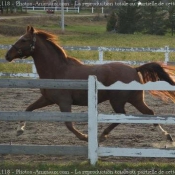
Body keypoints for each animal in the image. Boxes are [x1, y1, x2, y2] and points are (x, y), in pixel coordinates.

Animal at [4, 26, 175, 144]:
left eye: (23, 40)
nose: (7, 55)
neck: (57, 70)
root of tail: (134, 69)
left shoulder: (64, 102)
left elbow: (69, 124)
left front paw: (85, 137)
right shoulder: (47, 99)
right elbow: (28, 109)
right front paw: (19, 130)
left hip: (118, 101)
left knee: (122, 116)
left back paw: (102, 135)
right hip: (135, 99)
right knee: (150, 112)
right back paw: (167, 135)